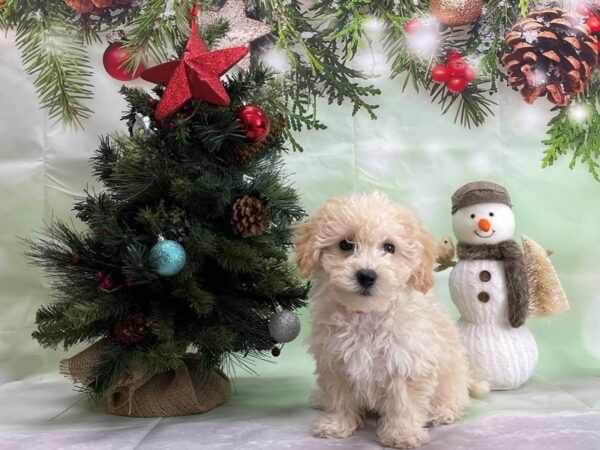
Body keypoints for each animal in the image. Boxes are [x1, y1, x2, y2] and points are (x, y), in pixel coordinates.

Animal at [296, 192, 474, 448]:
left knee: (454, 401)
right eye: (345, 245)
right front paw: (337, 425)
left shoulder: (408, 361)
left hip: (454, 380)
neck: (366, 314)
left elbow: (404, 402)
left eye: (389, 247)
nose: (367, 275)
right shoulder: (334, 361)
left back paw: (439, 412)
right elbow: (339, 396)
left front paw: (403, 433)